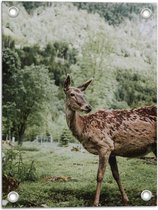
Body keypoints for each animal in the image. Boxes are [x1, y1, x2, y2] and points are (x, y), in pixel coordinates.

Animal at [63, 74, 157, 206]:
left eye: (83, 94)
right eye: (71, 94)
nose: (88, 107)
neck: (84, 128)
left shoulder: (105, 145)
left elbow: (100, 175)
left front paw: (95, 203)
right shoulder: (112, 150)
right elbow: (116, 174)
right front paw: (125, 199)